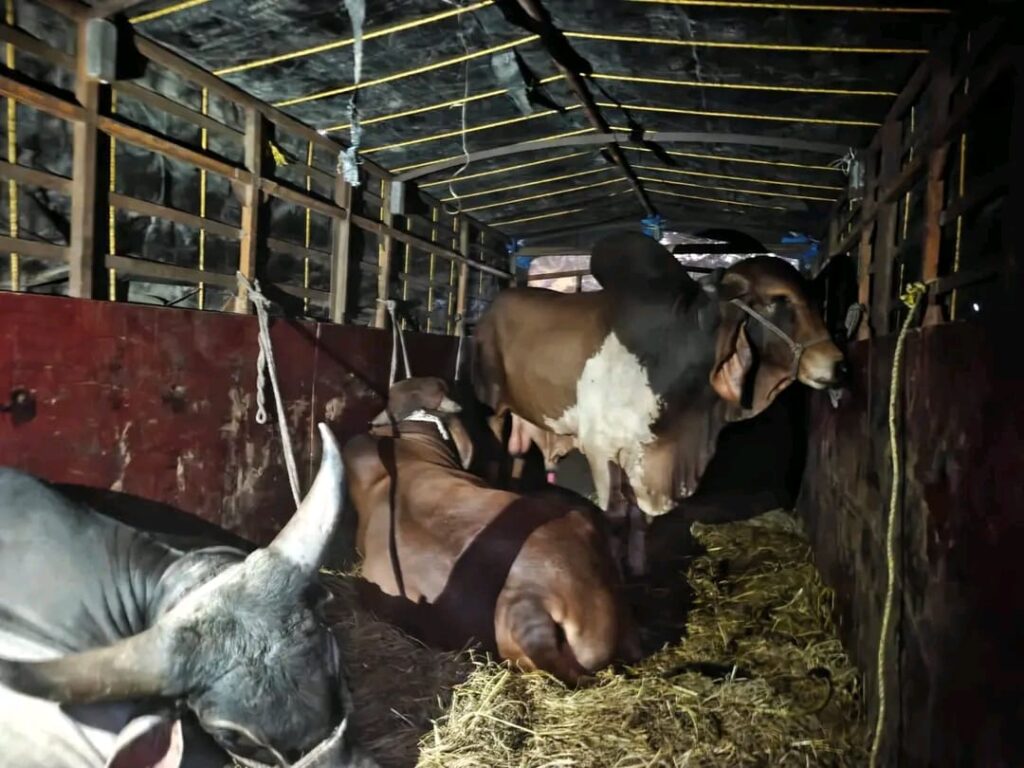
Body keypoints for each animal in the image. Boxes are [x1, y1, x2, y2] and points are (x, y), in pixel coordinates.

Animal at [472, 231, 846, 576]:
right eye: (778, 299)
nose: (837, 363)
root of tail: (497, 302)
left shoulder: (645, 452)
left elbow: (638, 517)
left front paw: (638, 567)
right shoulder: (601, 450)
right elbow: (614, 516)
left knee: (517, 454)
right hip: (491, 404)